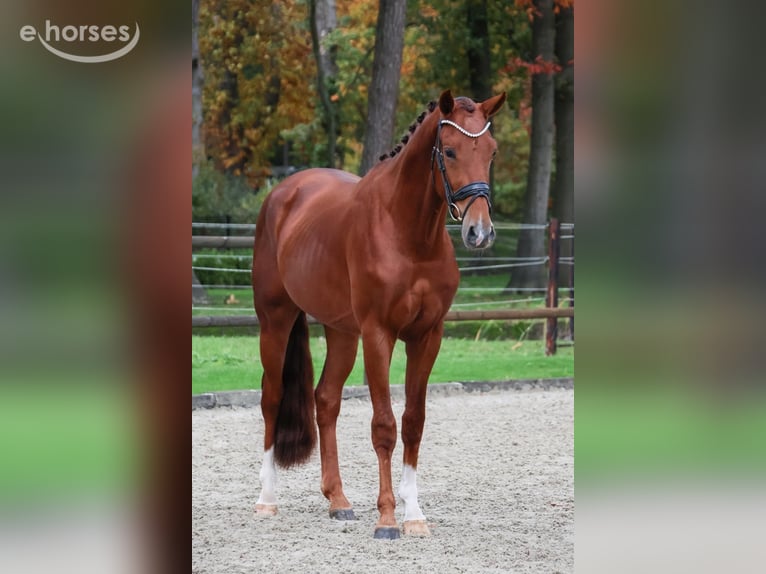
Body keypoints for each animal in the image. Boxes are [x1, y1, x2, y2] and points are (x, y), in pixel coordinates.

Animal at [251, 89, 506, 539]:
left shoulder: (428, 336)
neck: (408, 234)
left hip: (341, 332)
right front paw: (387, 518)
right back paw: (267, 499)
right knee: (272, 397)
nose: (480, 232)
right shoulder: (378, 334)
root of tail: (283, 193)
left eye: (491, 151)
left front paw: (414, 514)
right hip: (276, 321)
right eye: (450, 151)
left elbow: (413, 422)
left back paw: (338, 500)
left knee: (326, 400)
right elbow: (384, 425)